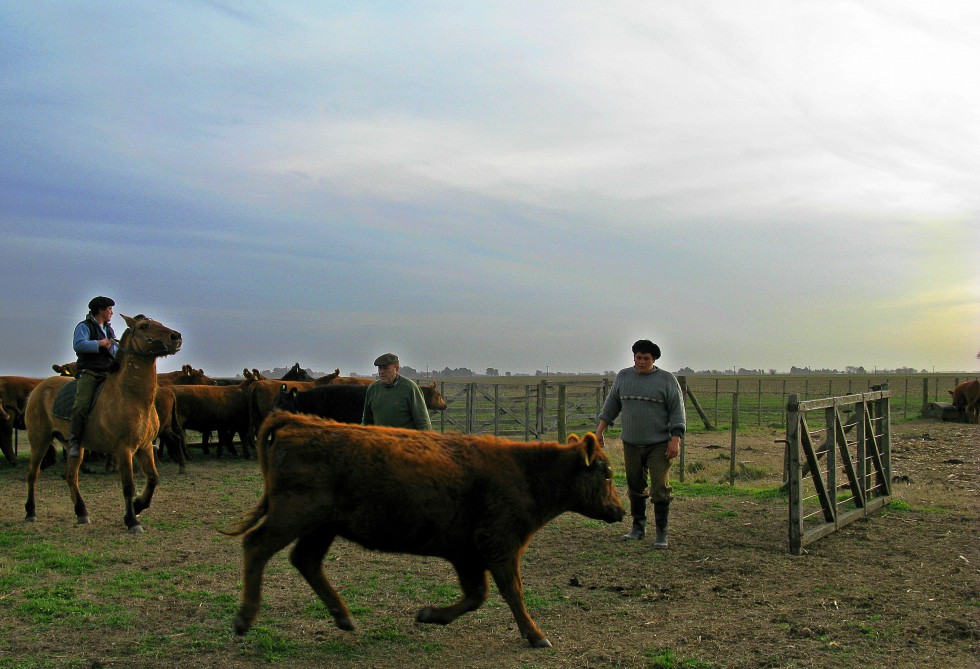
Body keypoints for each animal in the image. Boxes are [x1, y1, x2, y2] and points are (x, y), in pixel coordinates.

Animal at [23, 314, 182, 532]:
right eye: (144, 326)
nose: (176, 337)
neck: (132, 396)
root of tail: (38, 388)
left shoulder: (145, 447)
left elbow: (153, 478)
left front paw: (138, 505)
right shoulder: (124, 450)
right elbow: (128, 486)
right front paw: (132, 521)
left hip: (74, 447)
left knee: (71, 476)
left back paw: (82, 512)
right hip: (39, 440)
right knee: (33, 473)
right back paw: (31, 512)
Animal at [224, 418, 620, 648]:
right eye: (606, 472)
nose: (620, 509)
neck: (526, 471)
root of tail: (300, 424)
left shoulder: (468, 556)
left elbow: (477, 595)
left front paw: (429, 615)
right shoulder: (500, 546)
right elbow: (511, 592)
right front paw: (536, 635)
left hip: (322, 527)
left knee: (305, 560)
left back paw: (344, 618)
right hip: (294, 517)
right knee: (257, 546)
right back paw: (244, 619)